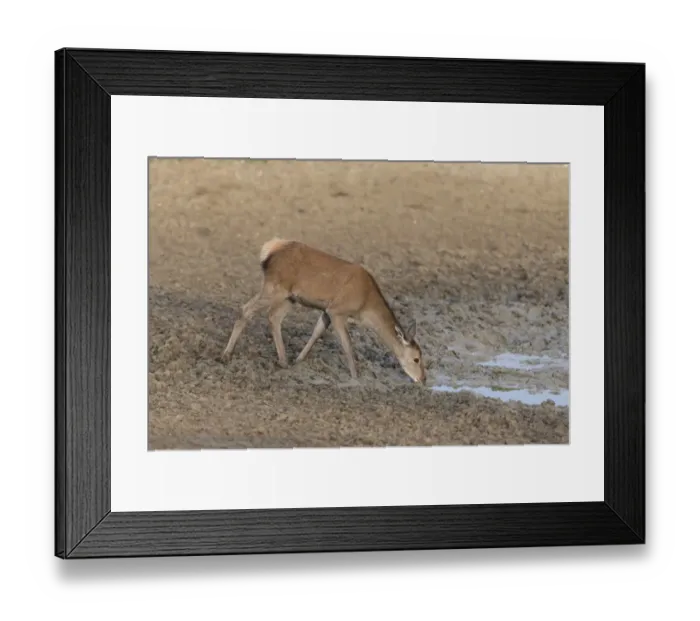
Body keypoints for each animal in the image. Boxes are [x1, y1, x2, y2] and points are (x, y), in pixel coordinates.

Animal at [221, 238, 427, 384]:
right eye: (416, 359)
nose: (423, 379)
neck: (365, 306)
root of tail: (269, 251)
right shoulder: (338, 311)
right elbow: (347, 345)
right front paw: (355, 377)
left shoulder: (327, 310)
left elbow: (317, 332)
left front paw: (298, 360)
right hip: (274, 287)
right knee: (246, 309)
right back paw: (226, 355)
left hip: (290, 297)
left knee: (273, 317)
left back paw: (284, 361)